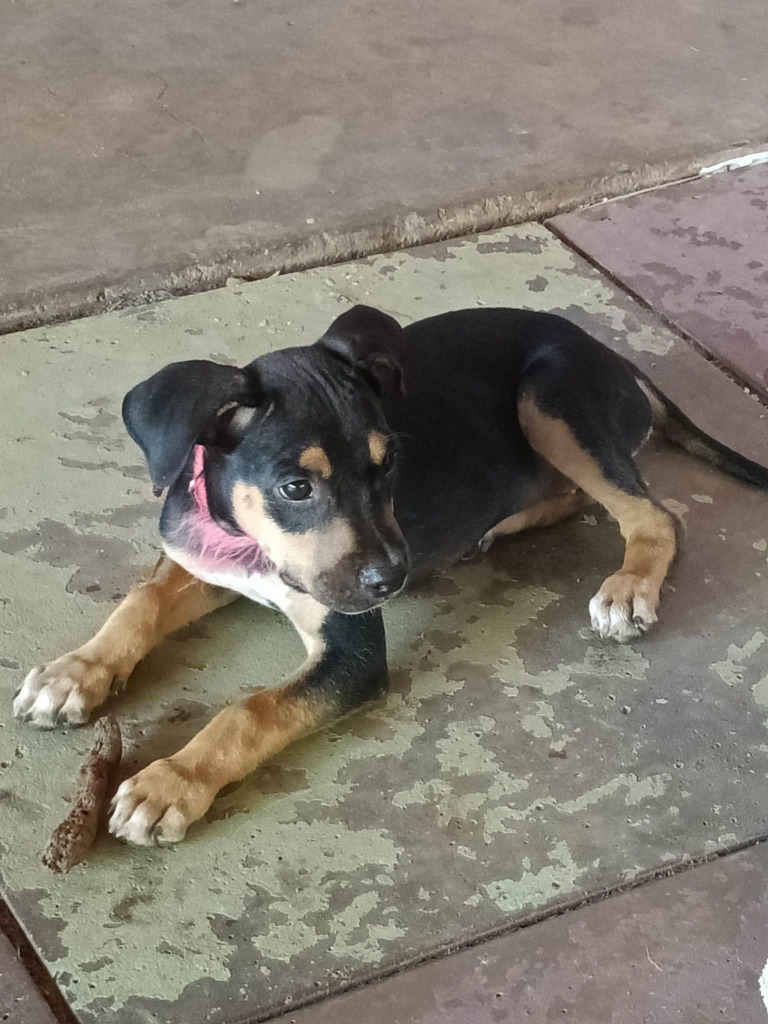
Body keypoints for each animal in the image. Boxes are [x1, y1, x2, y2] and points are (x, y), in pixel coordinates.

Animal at [13, 305, 768, 846]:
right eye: (295, 487)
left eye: (389, 464)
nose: (393, 580)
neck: (254, 546)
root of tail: (618, 360)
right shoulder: (203, 557)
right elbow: (140, 602)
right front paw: (74, 673)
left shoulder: (351, 652)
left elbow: (249, 710)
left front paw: (171, 781)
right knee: (589, 498)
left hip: (551, 397)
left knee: (652, 515)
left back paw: (627, 587)